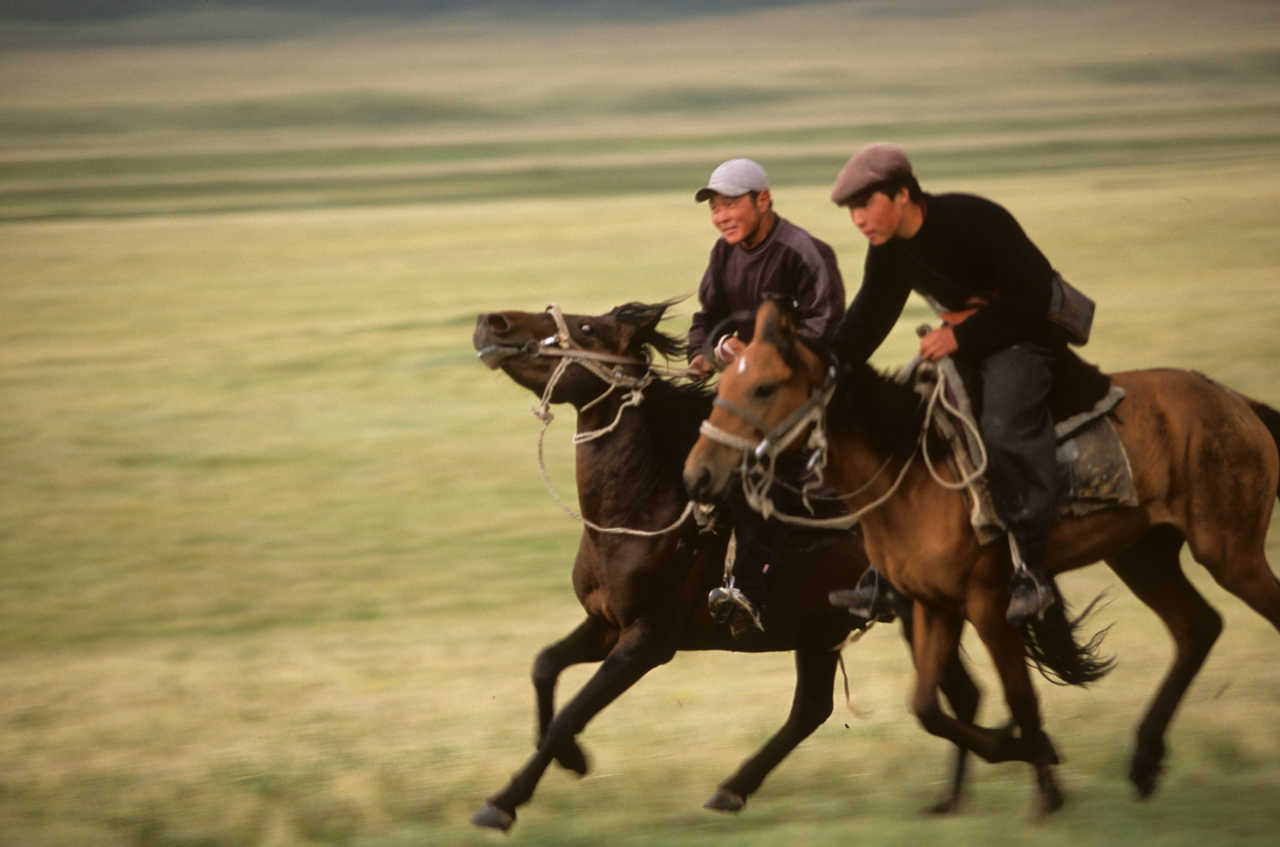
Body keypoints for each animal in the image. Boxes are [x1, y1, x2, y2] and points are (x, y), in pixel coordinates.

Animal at [468, 300, 984, 831]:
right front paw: (570, 758)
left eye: (587, 327)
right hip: (825, 628)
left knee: (950, 696)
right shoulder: (607, 623)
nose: (493, 323)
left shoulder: (648, 640)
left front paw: (506, 800)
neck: (643, 502)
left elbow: (572, 711)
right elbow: (544, 666)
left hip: (910, 615)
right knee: (820, 708)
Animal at [684, 298, 1280, 815]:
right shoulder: (933, 605)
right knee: (1196, 627)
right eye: (723, 383)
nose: (698, 475)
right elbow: (928, 707)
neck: (914, 471)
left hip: (1231, 553)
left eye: (763, 387)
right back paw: (1144, 761)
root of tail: (1238, 403)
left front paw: (1047, 790)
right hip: (1144, 555)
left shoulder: (988, 604)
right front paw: (1019, 752)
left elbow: (1019, 695)